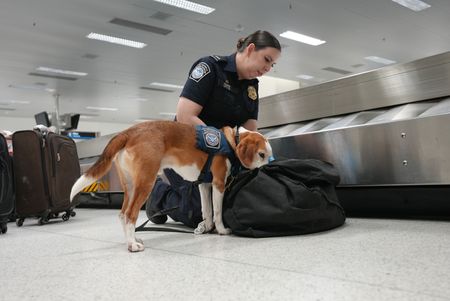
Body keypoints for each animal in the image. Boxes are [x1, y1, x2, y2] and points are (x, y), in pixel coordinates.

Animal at [72, 119, 272, 251]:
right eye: (261, 155)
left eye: (268, 155)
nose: (267, 167)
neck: (232, 141)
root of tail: (128, 132)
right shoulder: (218, 184)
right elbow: (217, 212)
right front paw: (222, 230)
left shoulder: (204, 184)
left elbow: (207, 211)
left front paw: (206, 228)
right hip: (145, 182)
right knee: (130, 215)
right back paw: (132, 245)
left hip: (129, 186)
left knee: (122, 215)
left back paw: (132, 239)